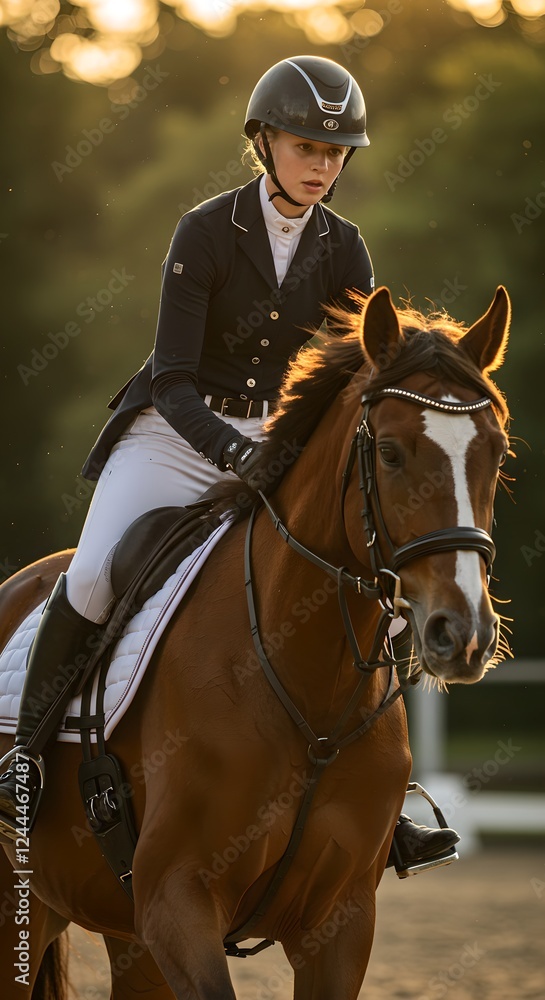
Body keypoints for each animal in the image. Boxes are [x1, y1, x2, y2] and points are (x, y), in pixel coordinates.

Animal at [0, 285, 511, 999]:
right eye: (389, 452)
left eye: (495, 451)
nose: (461, 634)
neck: (310, 682)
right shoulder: (176, 902)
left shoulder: (340, 921)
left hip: (120, 933)